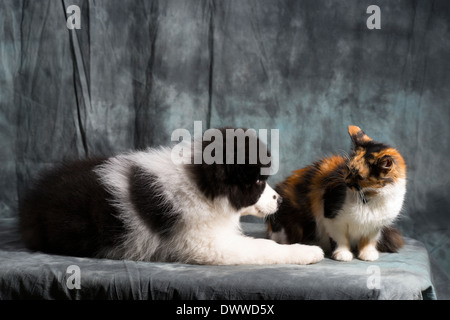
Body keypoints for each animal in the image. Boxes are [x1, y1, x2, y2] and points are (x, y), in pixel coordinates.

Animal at [20, 127, 324, 264]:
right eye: (260, 181)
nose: (279, 200)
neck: (201, 184)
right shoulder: (205, 241)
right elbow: (262, 247)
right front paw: (307, 251)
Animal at [268, 124, 408, 260]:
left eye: (359, 176)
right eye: (348, 168)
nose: (345, 181)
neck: (370, 197)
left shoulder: (375, 226)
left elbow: (368, 240)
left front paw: (368, 253)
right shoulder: (332, 216)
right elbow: (340, 238)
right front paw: (342, 254)